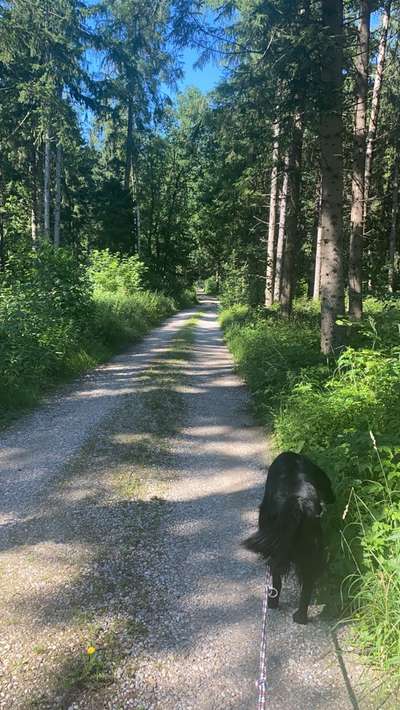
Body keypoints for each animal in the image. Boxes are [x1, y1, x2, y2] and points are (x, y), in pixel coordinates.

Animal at [244, 454, 334, 624]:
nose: (332, 498)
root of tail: (297, 503)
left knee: (279, 579)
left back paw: (273, 603)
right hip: (311, 551)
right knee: (307, 584)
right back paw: (301, 617)